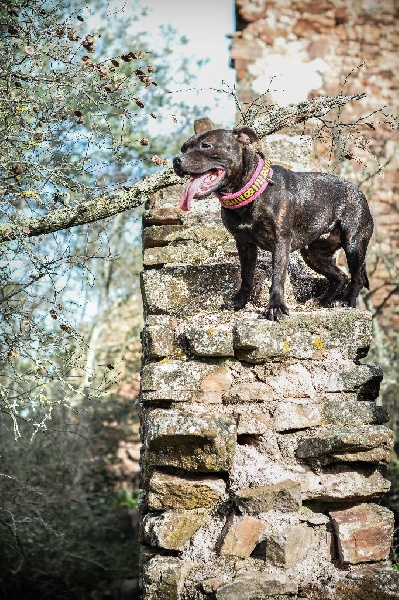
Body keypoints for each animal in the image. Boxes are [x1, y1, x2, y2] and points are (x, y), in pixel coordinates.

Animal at [173, 125, 376, 322]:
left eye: (206, 145)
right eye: (183, 148)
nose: (176, 160)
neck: (250, 191)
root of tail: (359, 192)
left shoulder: (280, 242)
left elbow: (277, 277)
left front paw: (275, 307)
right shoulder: (244, 244)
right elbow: (246, 276)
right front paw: (239, 302)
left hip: (353, 245)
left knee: (357, 277)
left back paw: (346, 301)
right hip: (313, 255)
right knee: (339, 277)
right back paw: (323, 301)